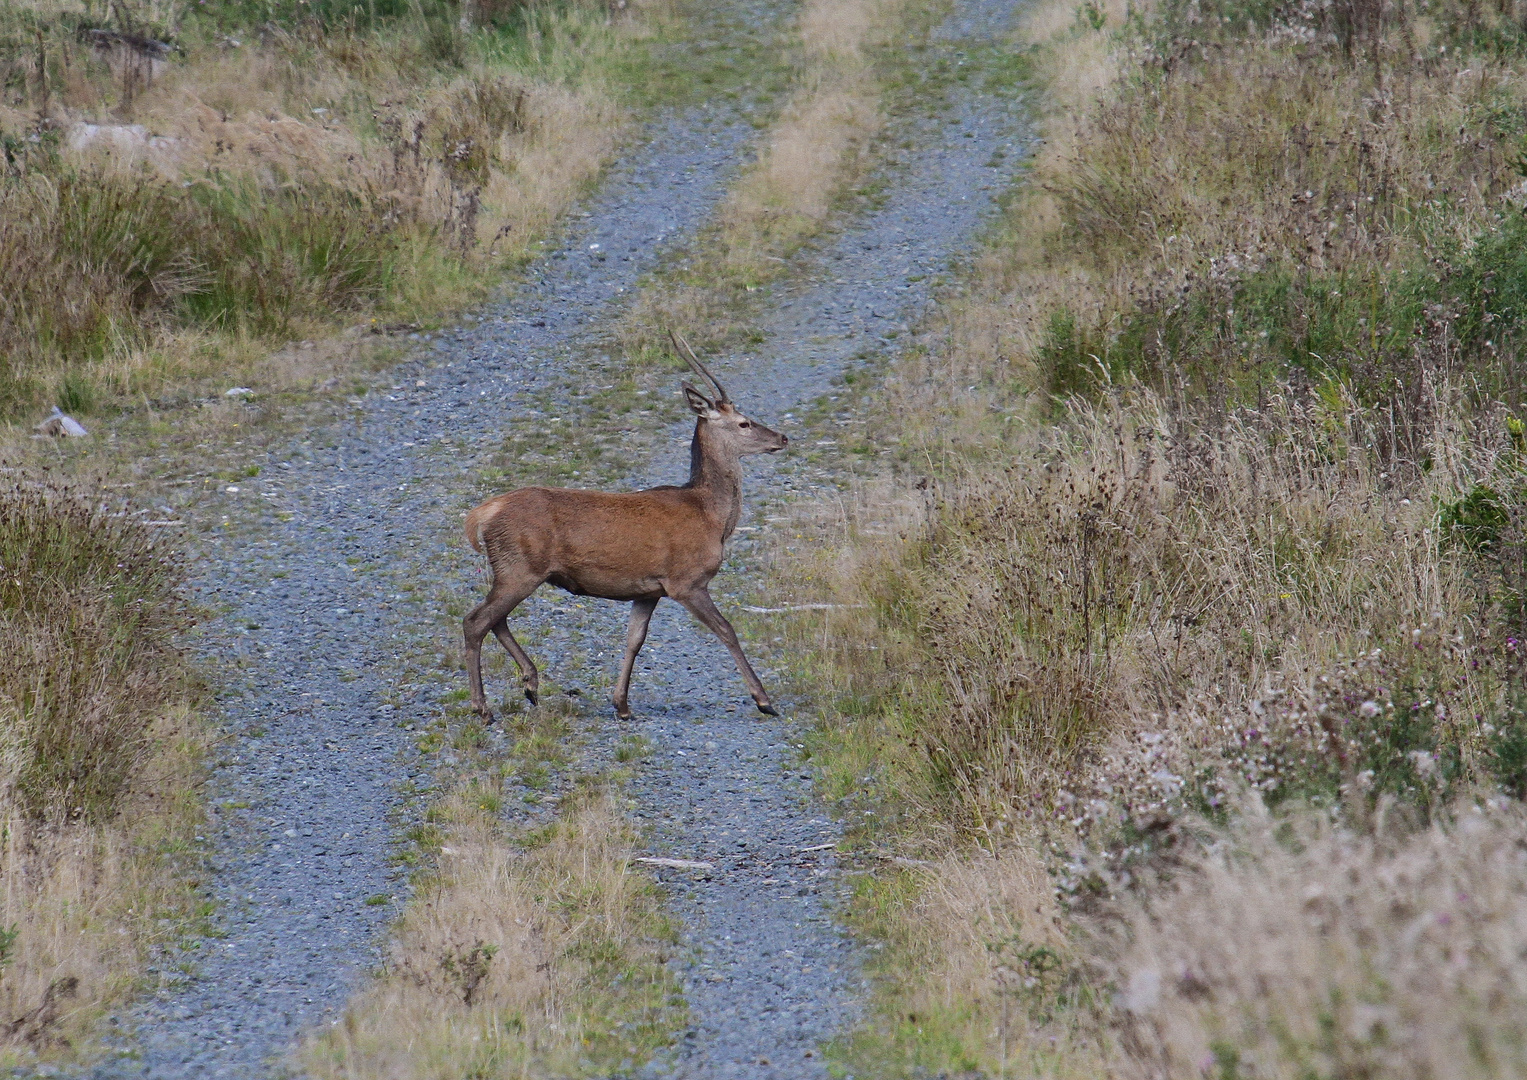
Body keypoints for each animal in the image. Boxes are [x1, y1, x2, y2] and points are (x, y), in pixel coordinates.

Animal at [458, 326, 787, 717]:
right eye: (743, 422)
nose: (782, 437)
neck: (712, 517)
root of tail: (483, 513)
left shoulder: (648, 589)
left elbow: (634, 640)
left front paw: (622, 704)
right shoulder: (686, 580)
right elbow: (727, 630)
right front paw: (764, 700)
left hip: (514, 570)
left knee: (496, 620)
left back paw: (530, 683)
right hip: (519, 567)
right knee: (475, 621)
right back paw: (482, 707)